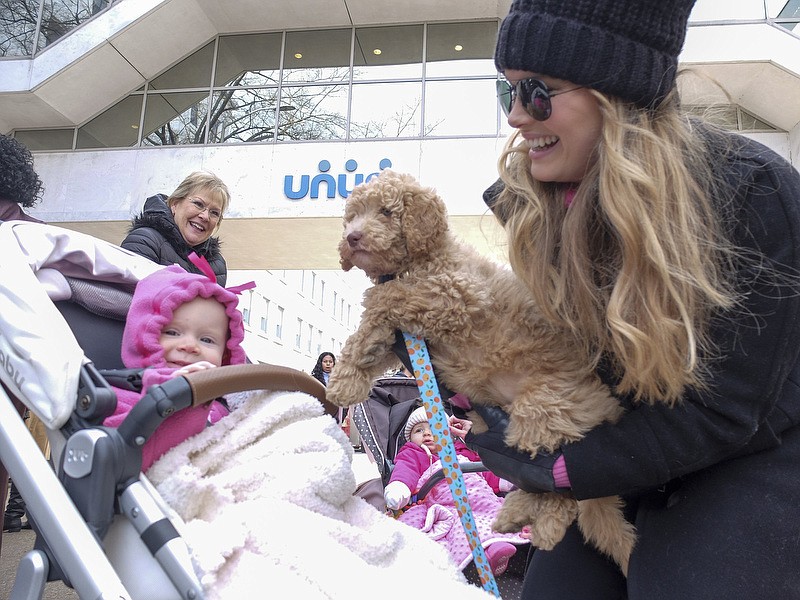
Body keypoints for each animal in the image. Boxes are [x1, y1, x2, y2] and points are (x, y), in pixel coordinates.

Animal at [328, 170, 636, 576]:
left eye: (386, 212)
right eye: (352, 216)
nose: (352, 237)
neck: (424, 259)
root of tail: (607, 407)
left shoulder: (453, 294)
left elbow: (391, 298)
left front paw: (371, 307)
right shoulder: (400, 337)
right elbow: (368, 341)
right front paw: (344, 384)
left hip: (541, 412)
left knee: (560, 489)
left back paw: (541, 528)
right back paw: (514, 516)